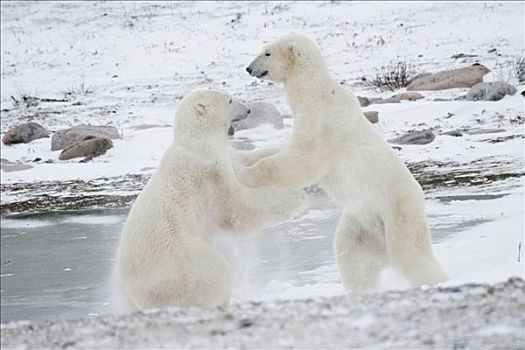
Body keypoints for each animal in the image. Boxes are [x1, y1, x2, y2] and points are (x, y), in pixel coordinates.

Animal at [114, 90, 302, 312]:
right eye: (229, 100)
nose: (248, 109)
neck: (197, 141)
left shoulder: (221, 157)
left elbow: (243, 164)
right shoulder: (207, 171)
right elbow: (235, 206)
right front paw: (296, 198)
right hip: (180, 261)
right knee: (213, 271)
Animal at [241, 34, 446, 292]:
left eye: (267, 53)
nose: (249, 68)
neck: (315, 93)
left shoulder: (323, 123)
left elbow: (305, 160)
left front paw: (248, 175)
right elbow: (284, 149)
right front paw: (240, 158)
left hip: (397, 212)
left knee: (408, 252)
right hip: (362, 223)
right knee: (352, 255)